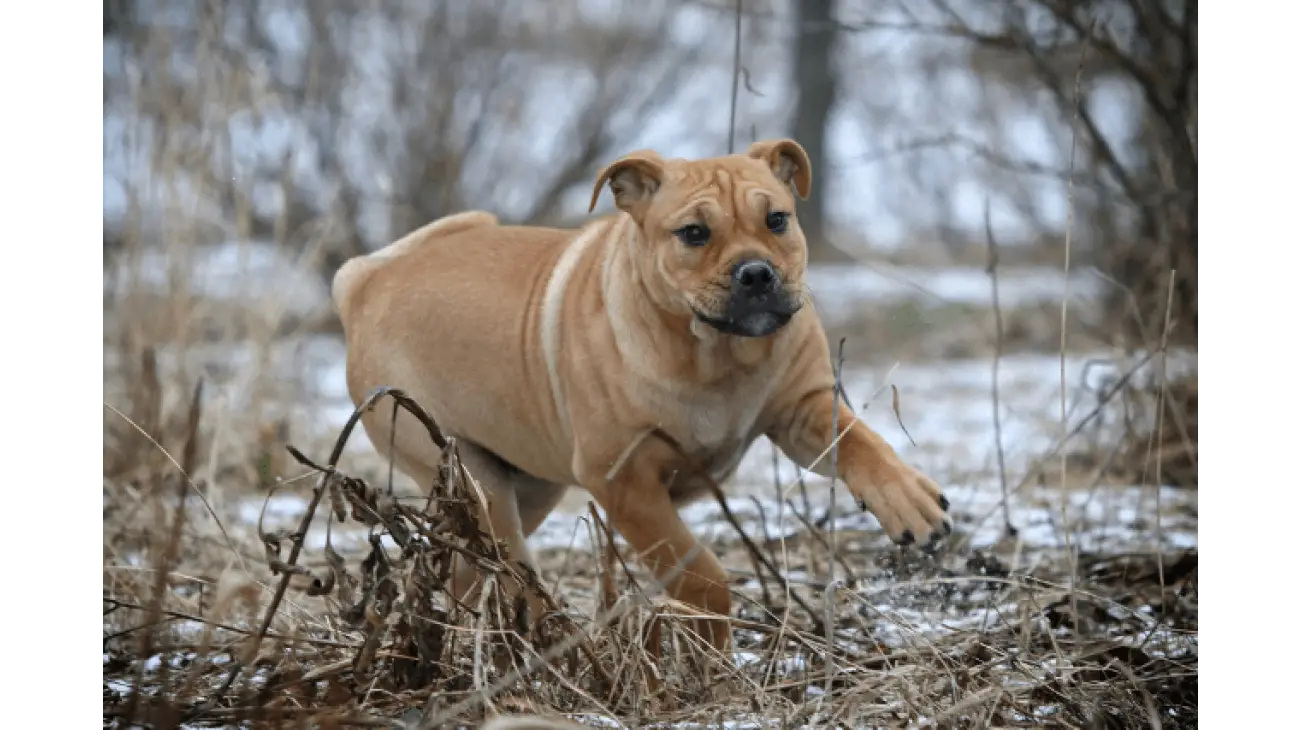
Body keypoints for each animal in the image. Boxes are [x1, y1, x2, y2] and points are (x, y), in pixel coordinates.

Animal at [330, 137, 951, 646]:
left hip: (527, 486)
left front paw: (910, 500)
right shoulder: (623, 476)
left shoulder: (802, 409)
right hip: (472, 479)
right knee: (507, 570)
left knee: (471, 571)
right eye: (694, 233)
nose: (756, 273)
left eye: (777, 220)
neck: (716, 357)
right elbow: (698, 571)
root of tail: (365, 281)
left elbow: (861, 442)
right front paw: (710, 651)